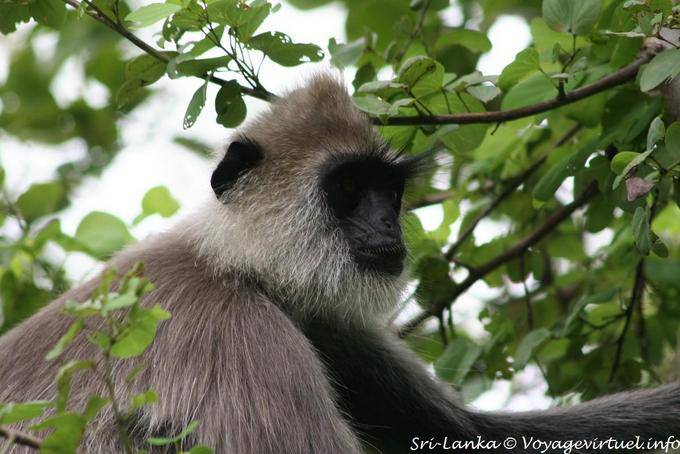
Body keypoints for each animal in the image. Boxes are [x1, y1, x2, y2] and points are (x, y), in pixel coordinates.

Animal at [1, 74, 680, 454]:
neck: (232, 264)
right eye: (350, 189)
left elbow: (469, 435)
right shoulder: (241, 334)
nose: (387, 226)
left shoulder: (321, 321)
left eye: (389, 192)